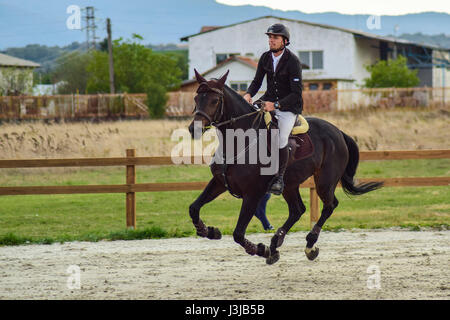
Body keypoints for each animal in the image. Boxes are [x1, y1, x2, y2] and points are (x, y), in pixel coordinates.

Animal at [187, 70, 384, 264]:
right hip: (290, 184)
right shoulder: (219, 182)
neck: (238, 142)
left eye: (215, 100)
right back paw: (276, 242)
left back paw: (308, 244)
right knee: (297, 210)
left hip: (325, 181)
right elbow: (194, 208)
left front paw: (261, 249)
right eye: (196, 98)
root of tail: (338, 132)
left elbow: (238, 234)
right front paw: (209, 231)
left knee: (329, 205)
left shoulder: (252, 194)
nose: (193, 129)